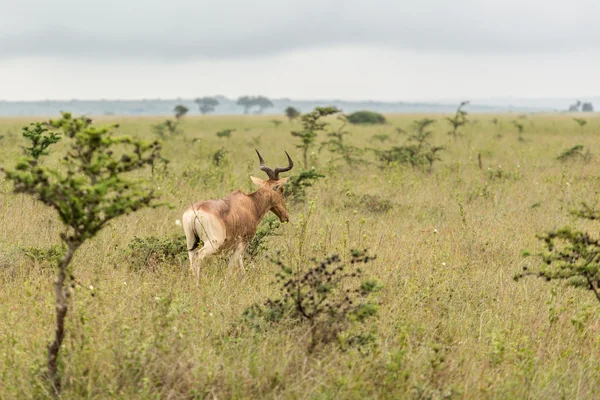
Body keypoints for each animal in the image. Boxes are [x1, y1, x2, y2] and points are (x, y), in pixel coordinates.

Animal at [183, 149, 296, 278]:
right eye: (281, 189)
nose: (285, 217)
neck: (249, 203)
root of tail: (196, 210)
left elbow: (240, 265)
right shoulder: (242, 242)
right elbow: (231, 267)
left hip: (190, 241)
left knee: (192, 259)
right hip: (213, 243)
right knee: (198, 257)